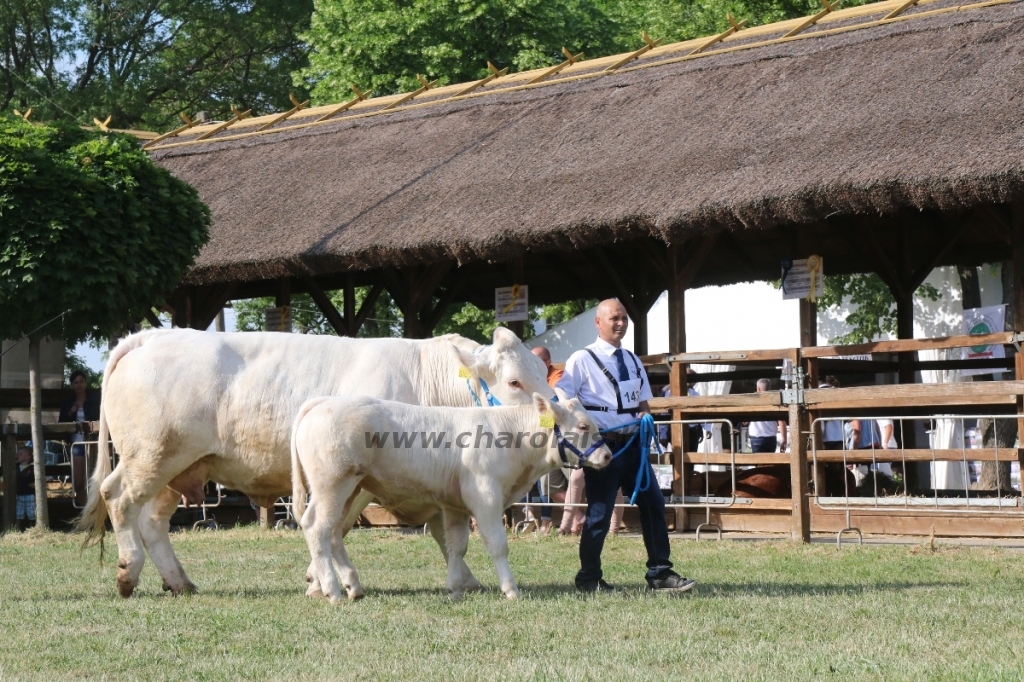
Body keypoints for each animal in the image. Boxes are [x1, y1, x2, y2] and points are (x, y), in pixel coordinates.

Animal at [77, 323, 552, 593]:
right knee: (119, 498)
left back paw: (178, 582)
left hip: (180, 467)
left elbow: (443, 532)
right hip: (152, 455)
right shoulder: (363, 479)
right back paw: (128, 573)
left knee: (152, 521)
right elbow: (334, 525)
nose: (555, 411)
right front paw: (323, 580)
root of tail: (150, 336)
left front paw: (465, 579)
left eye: (543, 372)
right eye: (514, 381)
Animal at [290, 391, 606, 598]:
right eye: (583, 426)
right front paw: (511, 589)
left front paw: (455, 588)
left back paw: (352, 586)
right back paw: (332, 590)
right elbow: (497, 545)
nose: (606, 455)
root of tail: (325, 401)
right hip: (333, 484)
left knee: (334, 533)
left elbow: (456, 545)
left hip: (350, 489)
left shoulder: (455, 505)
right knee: (317, 528)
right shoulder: (486, 497)